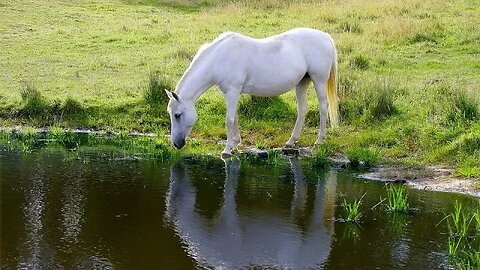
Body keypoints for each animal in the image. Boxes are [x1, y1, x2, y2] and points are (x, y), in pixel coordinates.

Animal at [167, 27, 340, 156]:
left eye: (177, 115)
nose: (177, 144)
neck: (220, 57)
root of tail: (325, 36)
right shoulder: (230, 93)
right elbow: (235, 117)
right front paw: (236, 143)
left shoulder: (233, 91)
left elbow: (229, 119)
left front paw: (227, 149)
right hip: (302, 83)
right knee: (302, 109)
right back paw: (291, 142)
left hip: (319, 80)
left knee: (323, 107)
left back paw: (319, 140)